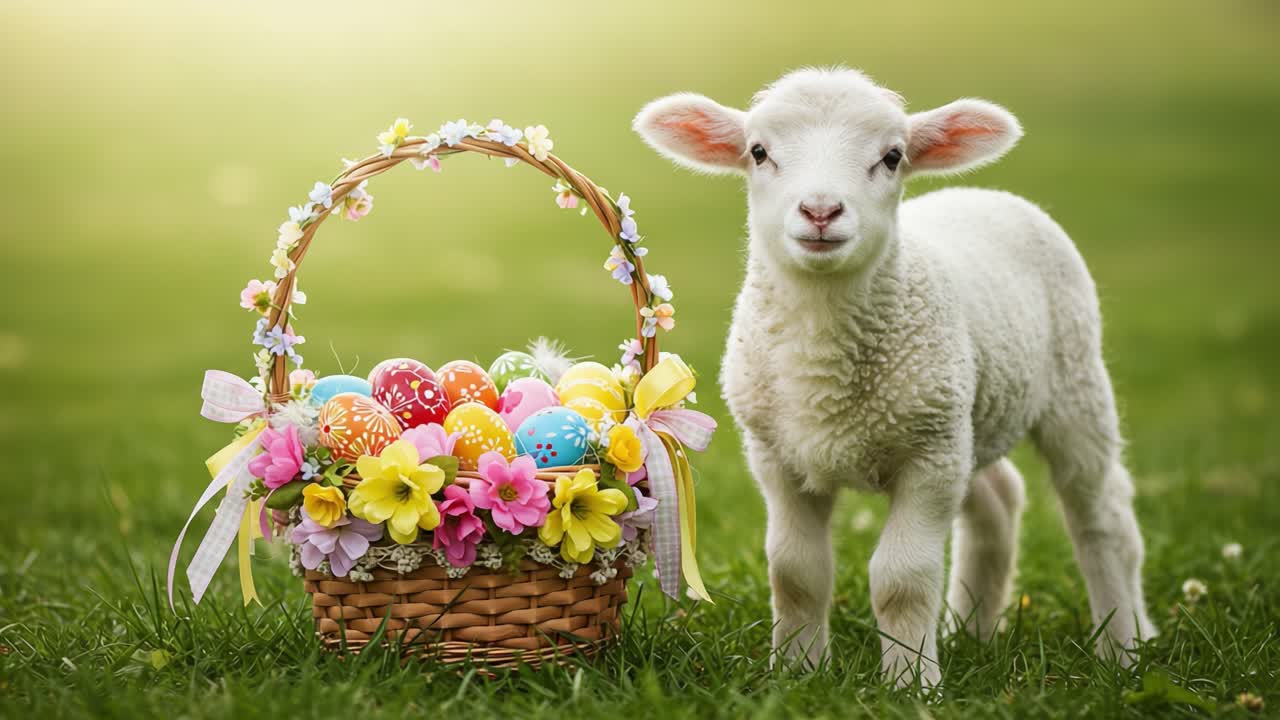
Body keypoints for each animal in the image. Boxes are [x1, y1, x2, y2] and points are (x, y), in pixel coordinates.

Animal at [633, 68, 1157, 688]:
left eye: (892, 156)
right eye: (758, 152)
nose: (820, 211)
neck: (822, 362)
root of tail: (982, 192)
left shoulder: (929, 460)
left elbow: (901, 579)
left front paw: (910, 682)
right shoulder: (778, 457)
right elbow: (796, 571)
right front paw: (798, 670)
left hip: (1070, 383)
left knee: (1102, 515)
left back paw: (1124, 645)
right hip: (967, 413)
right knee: (999, 500)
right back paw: (971, 632)